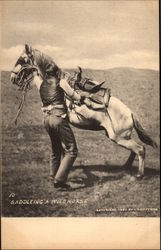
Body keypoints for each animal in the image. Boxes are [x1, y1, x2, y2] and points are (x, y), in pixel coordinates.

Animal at [10, 44, 157, 178]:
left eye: (21, 59)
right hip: (123, 137)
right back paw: (126, 167)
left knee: (140, 149)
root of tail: (130, 113)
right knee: (135, 150)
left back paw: (139, 174)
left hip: (119, 137)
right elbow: (63, 148)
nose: (12, 78)